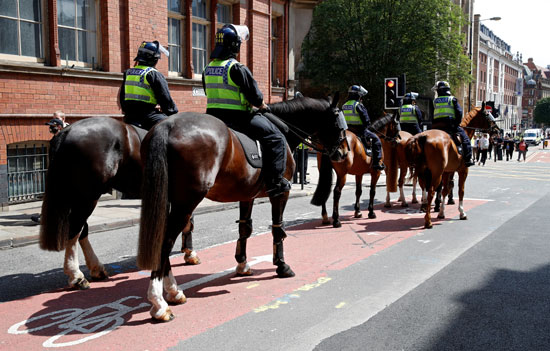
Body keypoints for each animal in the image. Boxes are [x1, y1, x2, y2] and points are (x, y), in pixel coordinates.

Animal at [38, 118, 203, 292]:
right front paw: (189, 253)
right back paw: (76, 276)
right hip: (87, 196)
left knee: (82, 230)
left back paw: (96, 269)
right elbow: (188, 222)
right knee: (75, 229)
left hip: (78, 195)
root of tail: (66, 131)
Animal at [137, 95, 350, 322]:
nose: (344, 152)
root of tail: (167, 125)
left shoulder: (247, 196)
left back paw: (173, 292)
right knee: (165, 242)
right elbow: (278, 229)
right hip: (186, 202)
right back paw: (160, 303)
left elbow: (244, 229)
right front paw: (282, 265)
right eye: (339, 126)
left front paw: (242, 264)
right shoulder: (280, 193)